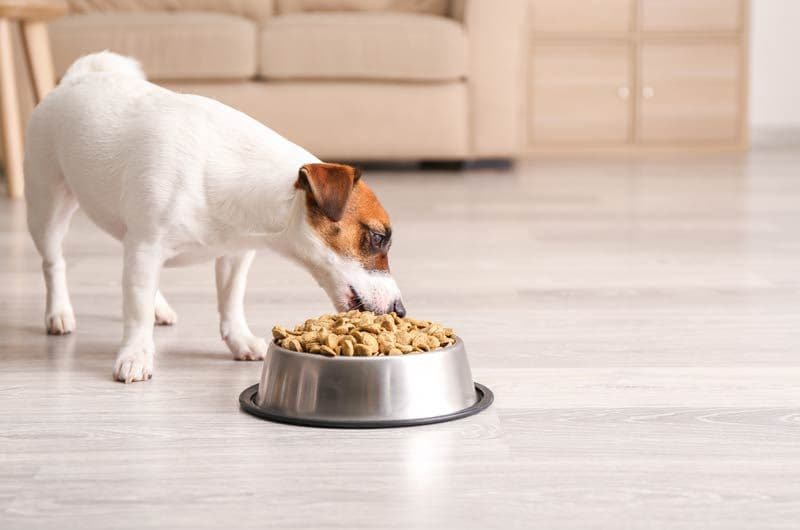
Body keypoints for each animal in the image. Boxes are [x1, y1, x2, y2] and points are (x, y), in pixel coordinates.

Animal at [25, 51, 406, 382]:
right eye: (377, 238)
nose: (401, 310)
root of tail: (77, 78)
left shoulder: (234, 256)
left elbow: (230, 303)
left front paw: (240, 340)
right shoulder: (147, 246)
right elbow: (135, 311)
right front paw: (135, 354)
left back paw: (158, 308)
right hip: (48, 208)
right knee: (54, 263)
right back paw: (58, 312)